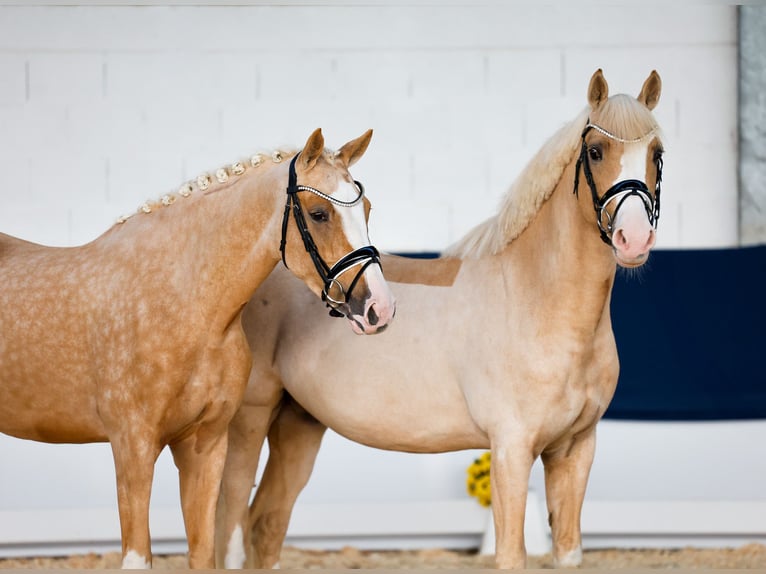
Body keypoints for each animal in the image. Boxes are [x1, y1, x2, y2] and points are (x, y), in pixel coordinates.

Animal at [0, 128, 396, 568]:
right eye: (319, 213)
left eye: (367, 208)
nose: (378, 308)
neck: (182, 303)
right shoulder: (133, 448)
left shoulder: (205, 445)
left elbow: (204, 554)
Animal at [216, 68, 664, 572]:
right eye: (595, 151)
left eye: (657, 153)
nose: (634, 239)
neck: (538, 300)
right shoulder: (511, 450)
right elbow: (511, 555)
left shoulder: (575, 451)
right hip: (249, 421)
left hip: (298, 423)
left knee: (266, 523)